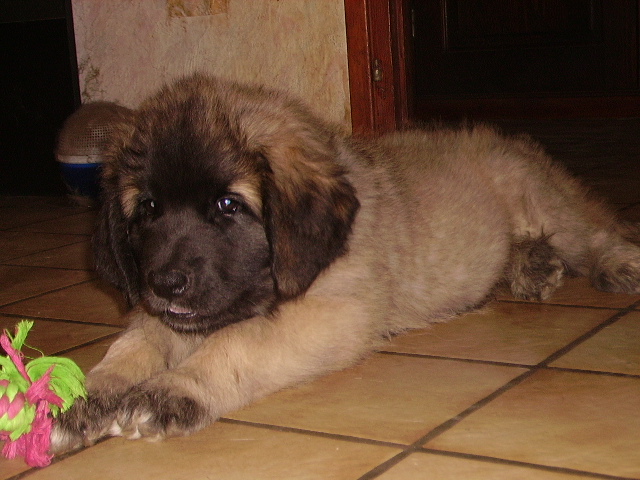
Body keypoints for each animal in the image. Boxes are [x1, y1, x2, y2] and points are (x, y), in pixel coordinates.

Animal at [52, 74, 640, 450]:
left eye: (228, 206)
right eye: (148, 208)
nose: (165, 283)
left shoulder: (330, 313)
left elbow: (235, 344)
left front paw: (175, 388)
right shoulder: (168, 314)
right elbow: (136, 343)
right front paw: (87, 394)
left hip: (539, 196)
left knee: (594, 231)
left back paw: (615, 263)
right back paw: (532, 263)